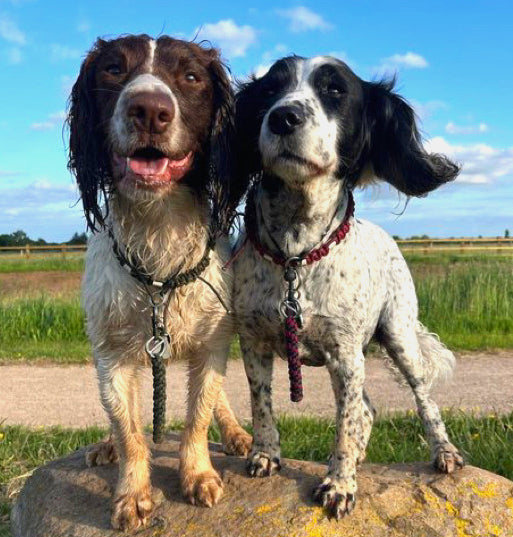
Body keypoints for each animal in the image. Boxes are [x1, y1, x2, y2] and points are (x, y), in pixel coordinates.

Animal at [67, 35, 251, 528]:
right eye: (113, 69)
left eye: (191, 76)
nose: (149, 110)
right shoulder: (110, 353)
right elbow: (126, 425)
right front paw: (132, 494)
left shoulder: (213, 343)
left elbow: (200, 413)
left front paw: (198, 473)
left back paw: (238, 434)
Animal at [233, 56, 464, 516]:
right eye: (270, 89)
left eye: (335, 91)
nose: (283, 116)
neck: (296, 256)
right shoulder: (253, 341)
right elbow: (261, 403)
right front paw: (265, 454)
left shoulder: (345, 355)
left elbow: (343, 424)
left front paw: (339, 484)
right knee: (368, 409)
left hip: (399, 337)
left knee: (422, 399)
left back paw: (443, 451)